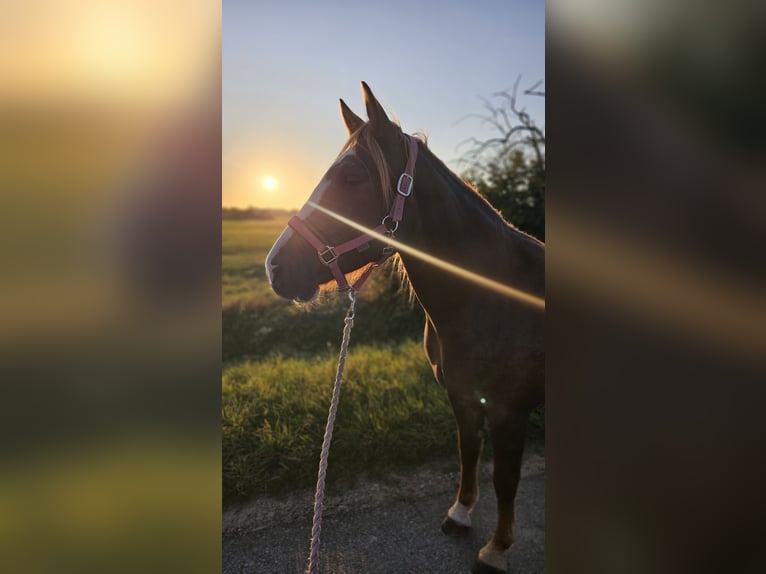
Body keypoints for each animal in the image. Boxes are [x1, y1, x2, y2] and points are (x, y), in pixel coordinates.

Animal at [268, 82, 544, 574]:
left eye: (352, 175)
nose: (274, 268)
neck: (491, 300)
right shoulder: (462, 396)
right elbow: (468, 452)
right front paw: (459, 514)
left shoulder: (510, 410)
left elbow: (506, 478)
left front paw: (496, 548)